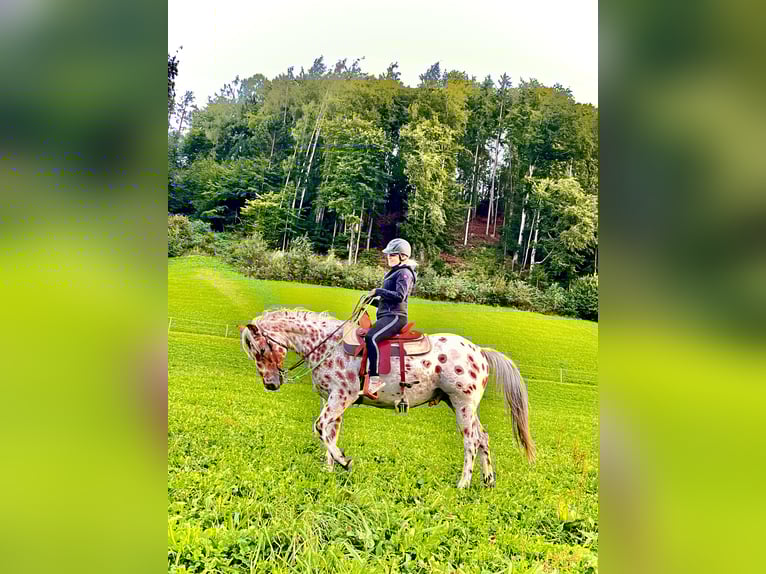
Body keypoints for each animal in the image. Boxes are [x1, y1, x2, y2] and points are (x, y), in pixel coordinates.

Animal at [239, 307, 535, 488]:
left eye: (261, 349)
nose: (270, 384)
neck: (328, 345)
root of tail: (480, 352)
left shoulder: (341, 398)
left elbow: (321, 428)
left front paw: (343, 461)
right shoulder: (331, 400)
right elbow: (328, 432)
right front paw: (330, 469)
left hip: (463, 405)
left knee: (471, 441)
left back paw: (463, 484)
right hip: (460, 405)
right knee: (483, 437)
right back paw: (488, 481)